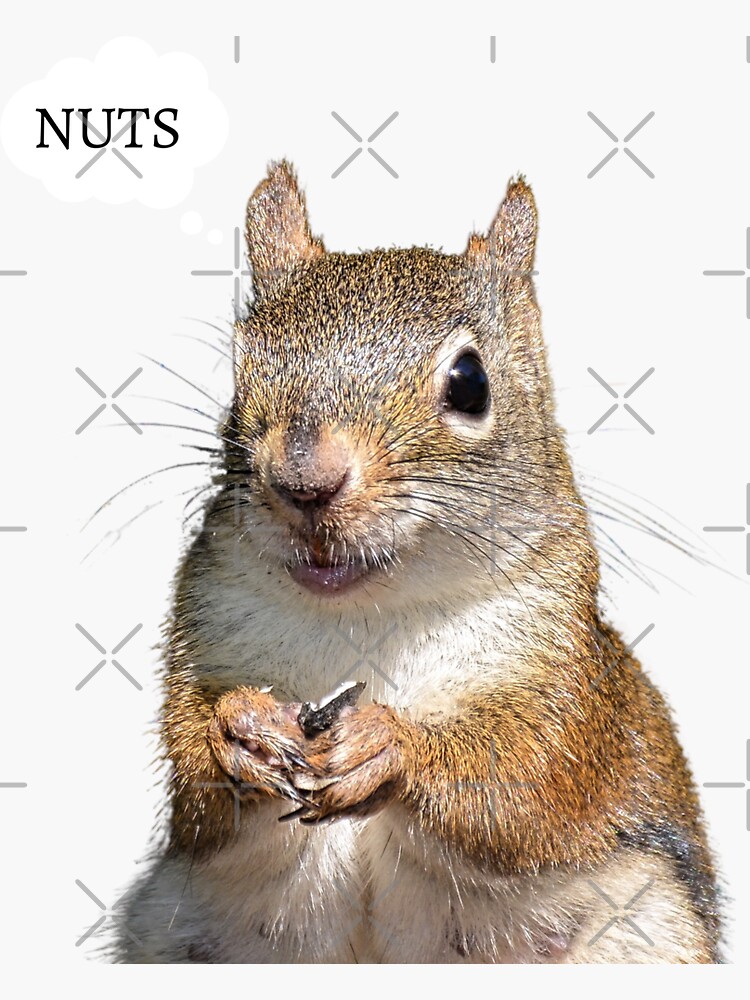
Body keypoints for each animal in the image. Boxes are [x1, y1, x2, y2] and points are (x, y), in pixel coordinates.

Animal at [115, 161, 722, 963]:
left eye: (470, 383)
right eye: (241, 373)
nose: (305, 480)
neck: (366, 616)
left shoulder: (568, 687)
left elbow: (526, 783)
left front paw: (390, 745)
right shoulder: (204, 626)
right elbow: (193, 784)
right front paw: (237, 730)